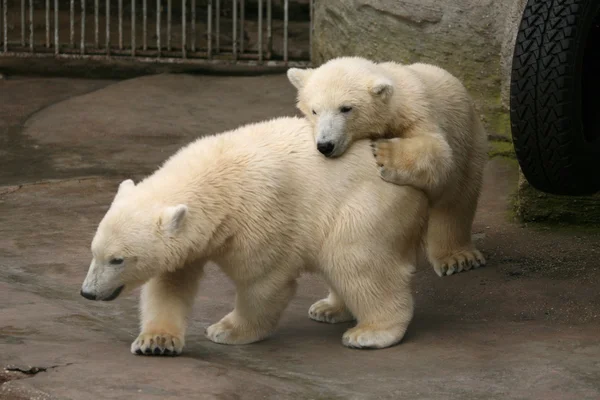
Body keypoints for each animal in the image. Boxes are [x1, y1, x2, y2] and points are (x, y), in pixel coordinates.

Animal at [79, 117, 428, 354]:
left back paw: (371, 332)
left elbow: (262, 280)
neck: (217, 183)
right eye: (94, 252)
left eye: (118, 260)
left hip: (363, 204)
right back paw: (329, 309)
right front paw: (156, 341)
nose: (88, 293)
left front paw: (226, 330)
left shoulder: (259, 212)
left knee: (356, 261)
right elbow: (170, 282)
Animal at [288, 56, 490, 276]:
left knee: (456, 199)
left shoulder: (418, 115)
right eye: (314, 110)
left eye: (346, 108)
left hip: (468, 139)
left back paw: (457, 257)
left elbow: (439, 153)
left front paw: (383, 153)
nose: (325, 145)